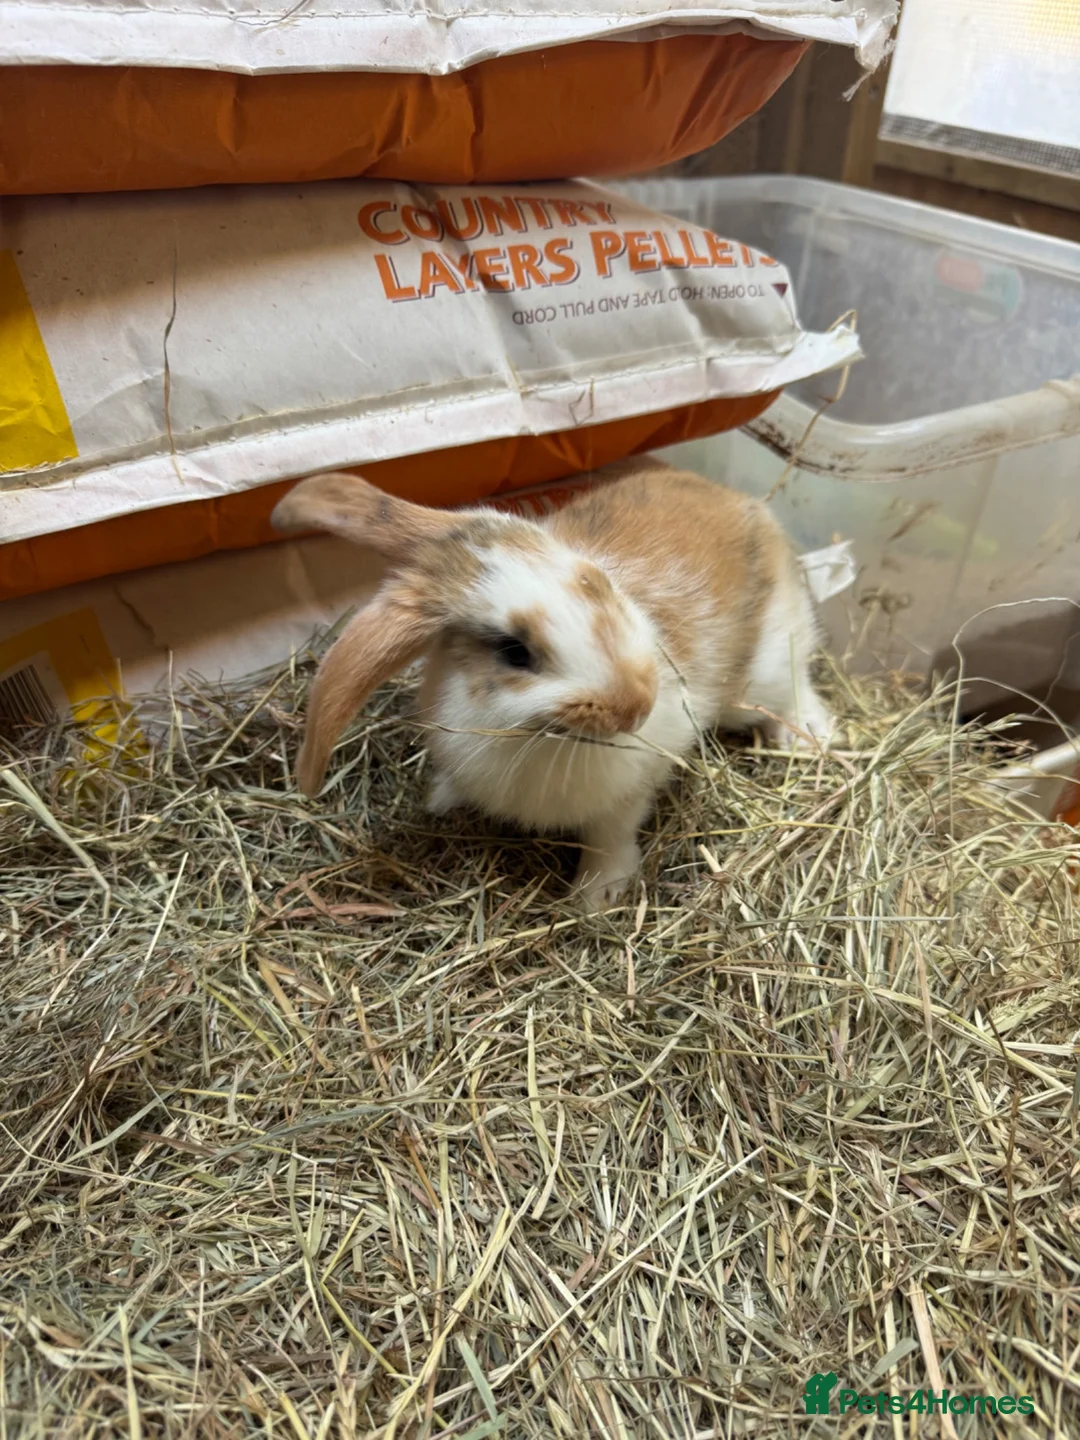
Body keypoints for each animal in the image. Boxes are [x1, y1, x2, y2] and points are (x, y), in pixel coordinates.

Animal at [272, 457, 832, 912]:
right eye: (514, 652)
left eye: (596, 581)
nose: (639, 705)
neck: (530, 735)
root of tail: (750, 506)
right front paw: (441, 800)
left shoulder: (631, 790)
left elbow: (610, 836)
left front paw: (595, 898)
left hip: (760, 678)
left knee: (795, 686)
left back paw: (810, 737)